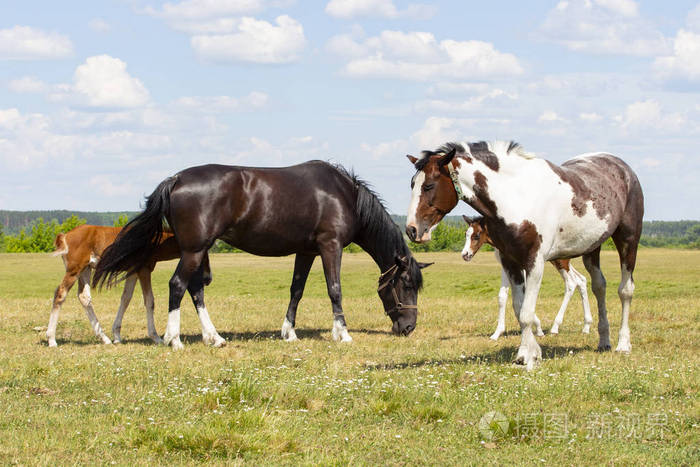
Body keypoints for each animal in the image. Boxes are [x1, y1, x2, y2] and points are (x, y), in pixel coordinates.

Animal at [47, 224, 210, 347]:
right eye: (203, 255)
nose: (207, 279)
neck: (154, 240)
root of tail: (65, 236)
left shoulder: (133, 271)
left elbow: (126, 298)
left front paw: (117, 335)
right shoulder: (144, 269)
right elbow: (149, 301)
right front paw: (156, 337)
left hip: (85, 270)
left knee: (84, 297)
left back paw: (105, 338)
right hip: (74, 270)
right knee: (60, 293)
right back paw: (51, 339)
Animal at [93, 161, 431, 350]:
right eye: (407, 285)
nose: (409, 328)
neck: (343, 195)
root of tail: (175, 179)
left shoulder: (306, 251)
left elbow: (297, 289)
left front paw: (289, 333)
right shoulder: (330, 246)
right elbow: (334, 289)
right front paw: (342, 334)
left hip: (199, 251)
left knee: (195, 289)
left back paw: (214, 338)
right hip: (194, 250)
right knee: (178, 286)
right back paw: (174, 339)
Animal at [461, 215, 592, 340]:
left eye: (476, 236)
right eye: (466, 234)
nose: (465, 255)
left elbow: (523, 295)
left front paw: (537, 328)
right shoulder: (507, 266)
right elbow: (502, 296)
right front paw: (497, 333)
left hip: (560, 261)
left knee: (571, 282)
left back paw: (556, 326)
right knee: (581, 280)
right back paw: (586, 326)